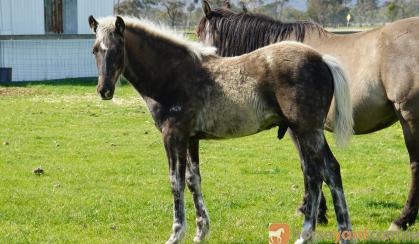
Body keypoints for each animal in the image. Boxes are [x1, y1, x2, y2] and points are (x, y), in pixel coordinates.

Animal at [88, 15, 354, 244]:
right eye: (95, 50)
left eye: (117, 49)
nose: (104, 90)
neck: (173, 74)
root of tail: (322, 59)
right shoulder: (190, 139)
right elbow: (193, 180)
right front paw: (200, 232)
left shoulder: (173, 136)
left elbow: (176, 181)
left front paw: (176, 234)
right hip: (306, 132)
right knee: (321, 172)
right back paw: (326, 233)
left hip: (307, 131)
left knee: (323, 171)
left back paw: (322, 234)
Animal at [198, 1, 419, 231]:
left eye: (199, 33)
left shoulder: (298, 130)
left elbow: (308, 166)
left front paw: (313, 211)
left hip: (409, 118)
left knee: (415, 166)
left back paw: (403, 219)